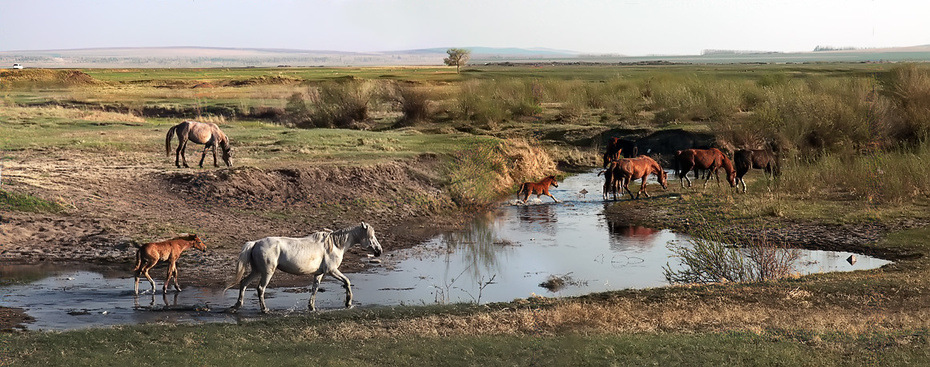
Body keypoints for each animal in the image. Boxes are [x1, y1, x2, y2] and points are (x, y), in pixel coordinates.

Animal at [225, 223, 380, 314]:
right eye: (371, 236)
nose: (379, 250)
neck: (335, 245)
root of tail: (256, 243)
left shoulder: (319, 274)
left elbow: (314, 289)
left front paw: (311, 307)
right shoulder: (331, 271)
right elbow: (347, 281)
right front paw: (348, 303)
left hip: (257, 271)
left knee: (243, 283)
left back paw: (236, 306)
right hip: (267, 272)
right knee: (260, 288)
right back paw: (264, 309)